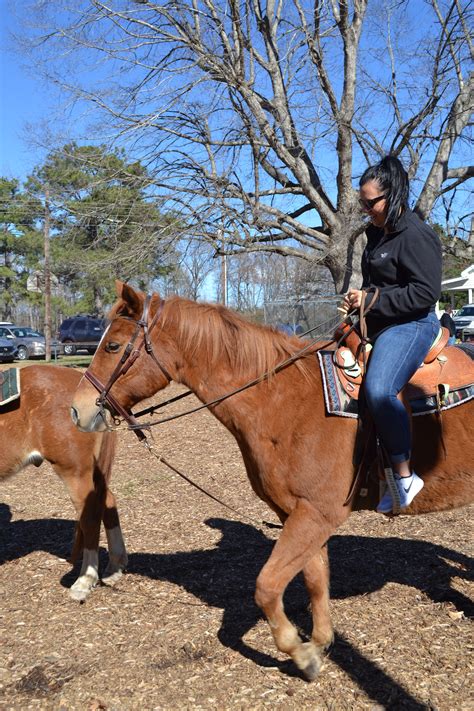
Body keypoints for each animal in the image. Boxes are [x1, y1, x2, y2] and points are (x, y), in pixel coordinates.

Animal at [70, 282, 474, 680]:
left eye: (113, 345)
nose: (77, 409)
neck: (285, 399)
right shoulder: (297, 514)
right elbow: (314, 579)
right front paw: (320, 643)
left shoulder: (317, 515)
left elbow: (266, 587)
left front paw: (299, 652)